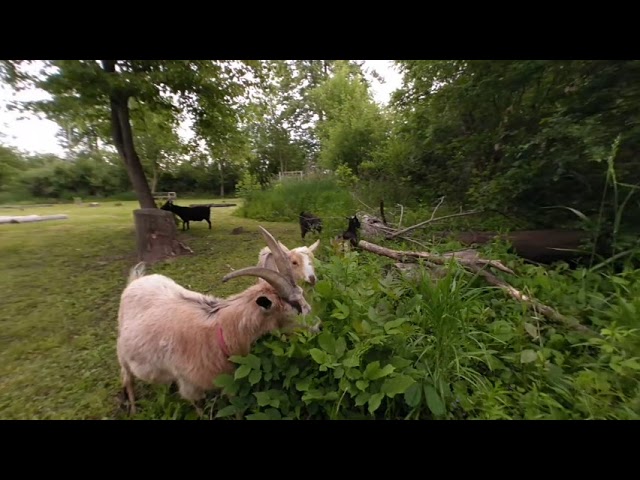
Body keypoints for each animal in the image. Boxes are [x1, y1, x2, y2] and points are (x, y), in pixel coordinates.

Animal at [118, 227, 316, 414]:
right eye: (295, 306)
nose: (317, 326)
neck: (222, 330)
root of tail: (135, 281)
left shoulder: (228, 381)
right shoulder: (189, 384)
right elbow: (199, 407)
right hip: (123, 353)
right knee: (127, 378)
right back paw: (133, 409)